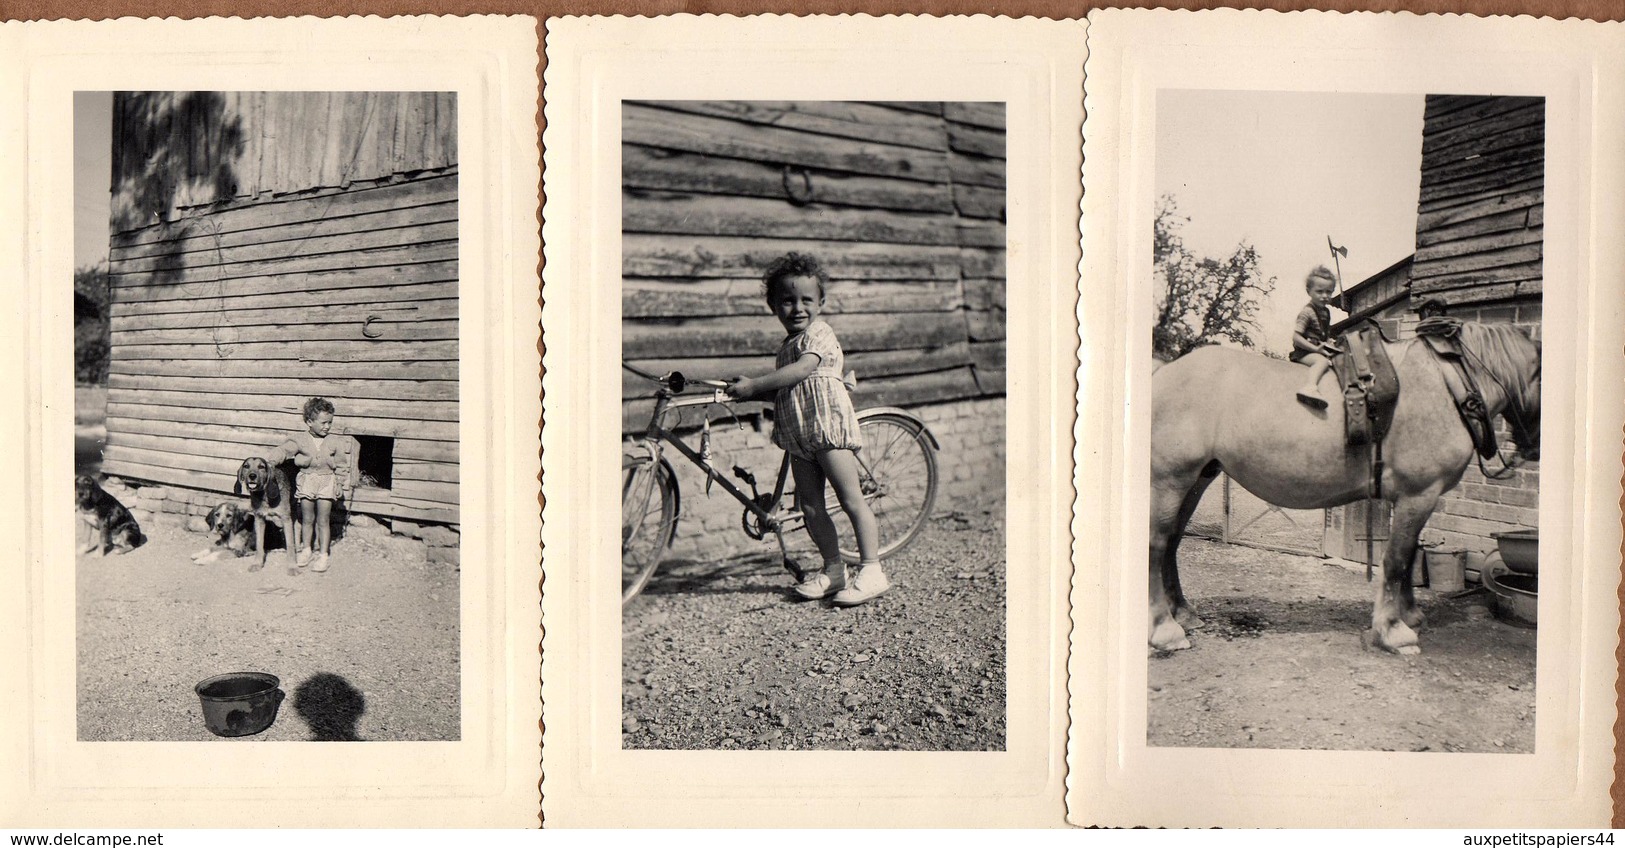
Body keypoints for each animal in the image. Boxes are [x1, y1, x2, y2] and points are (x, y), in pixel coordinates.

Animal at [1150, 320, 1540, 649]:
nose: (1531, 448)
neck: (1446, 384)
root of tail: (1163, 372)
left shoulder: (1416, 498)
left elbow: (1410, 555)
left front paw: (1411, 616)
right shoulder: (1419, 494)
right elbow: (1396, 560)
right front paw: (1393, 631)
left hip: (1197, 479)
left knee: (1173, 542)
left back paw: (1183, 613)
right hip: (1170, 480)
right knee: (1158, 544)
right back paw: (1165, 630)